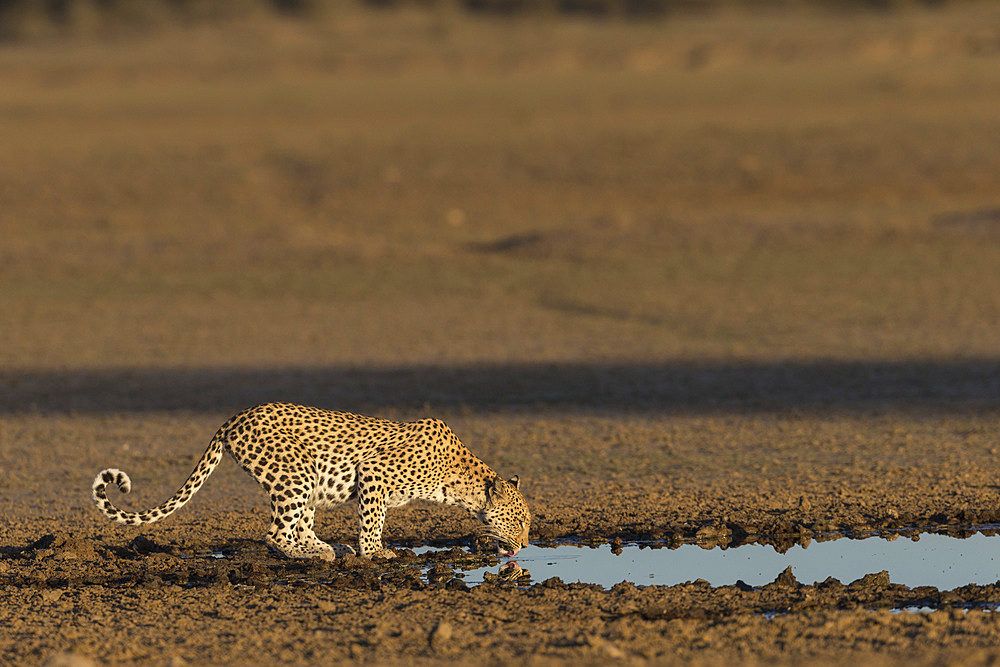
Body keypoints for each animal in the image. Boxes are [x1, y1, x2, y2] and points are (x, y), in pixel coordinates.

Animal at [93, 404, 532, 560]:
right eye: (520, 521)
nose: (527, 544)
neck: (459, 483)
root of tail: (234, 417)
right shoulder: (373, 473)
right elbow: (373, 521)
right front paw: (375, 553)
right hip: (295, 473)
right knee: (275, 533)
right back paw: (312, 554)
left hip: (306, 479)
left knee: (299, 523)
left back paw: (323, 546)